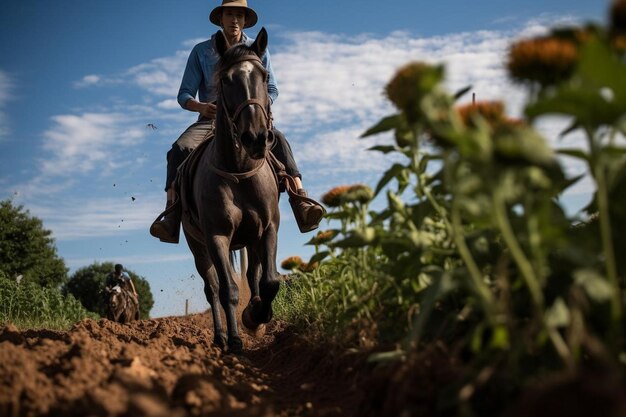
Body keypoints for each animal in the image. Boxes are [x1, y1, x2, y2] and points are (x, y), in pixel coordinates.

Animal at [179, 26, 280, 352]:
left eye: (263, 75)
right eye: (226, 79)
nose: (255, 137)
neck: (238, 172)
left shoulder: (268, 228)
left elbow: (269, 281)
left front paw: (256, 318)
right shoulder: (217, 237)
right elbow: (228, 291)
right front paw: (236, 339)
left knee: (253, 275)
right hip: (197, 245)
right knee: (212, 288)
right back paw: (221, 336)